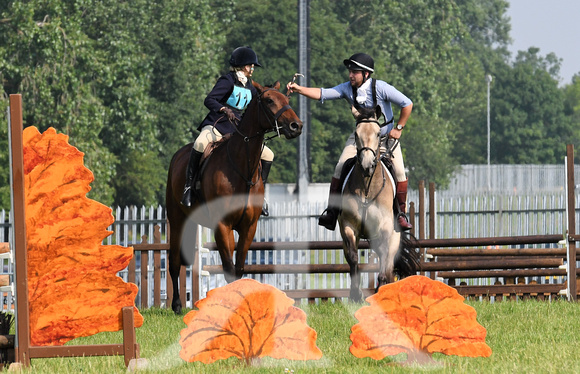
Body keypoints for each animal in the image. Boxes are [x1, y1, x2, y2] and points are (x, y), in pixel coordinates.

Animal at [165, 80, 304, 314]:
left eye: (287, 99)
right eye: (269, 100)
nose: (297, 126)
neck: (241, 167)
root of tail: (177, 155)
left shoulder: (248, 226)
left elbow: (238, 268)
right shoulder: (222, 225)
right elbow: (228, 268)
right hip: (177, 221)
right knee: (174, 262)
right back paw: (176, 305)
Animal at [338, 105, 420, 300]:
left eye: (377, 133)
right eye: (356, 133)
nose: (367, 165)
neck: (367, 188)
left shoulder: (384, 228)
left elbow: (384, 258)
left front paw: (380, 289)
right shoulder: (348, 226)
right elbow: (353, 257)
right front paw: (355, 294)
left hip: (394, 236)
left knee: (388, 262)